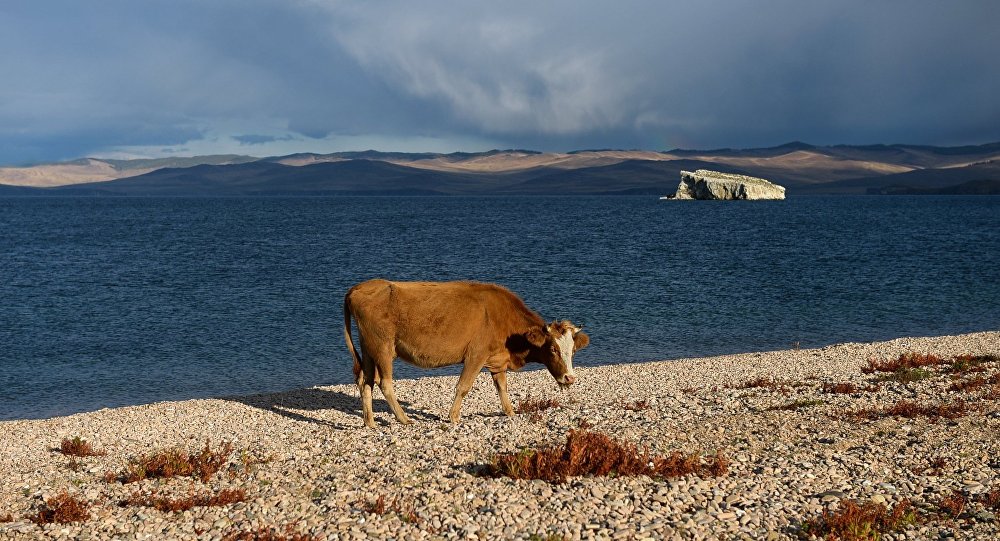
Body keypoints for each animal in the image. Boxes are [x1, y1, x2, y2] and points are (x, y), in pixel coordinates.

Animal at [343, 279, 589, 428]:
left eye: (573, 351)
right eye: (553, 349)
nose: (570, 378)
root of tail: (360, 287)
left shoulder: (497, 360)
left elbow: (502, 388)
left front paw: (510, 412)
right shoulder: (476, 355)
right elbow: (463, 386)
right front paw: (453, 417)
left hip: (369, 348)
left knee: (365, 381)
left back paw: (370, 421)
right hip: (383, 347)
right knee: (384, 383)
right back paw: (404, 419)